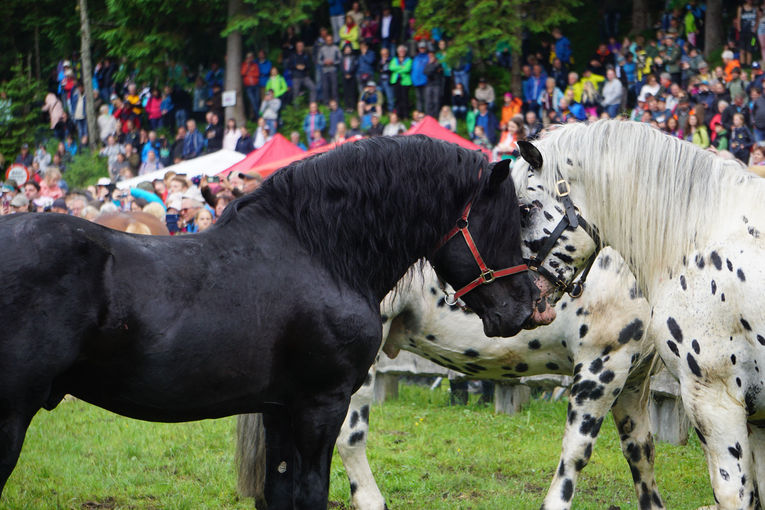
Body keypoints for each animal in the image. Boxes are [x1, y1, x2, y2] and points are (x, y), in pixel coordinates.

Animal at [0, 134, 536, 506]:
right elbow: (310, 494)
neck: (320, 251)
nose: (528, 306)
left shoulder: (278, 408)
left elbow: (278, 495)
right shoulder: (320, 404)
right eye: (507, 219)